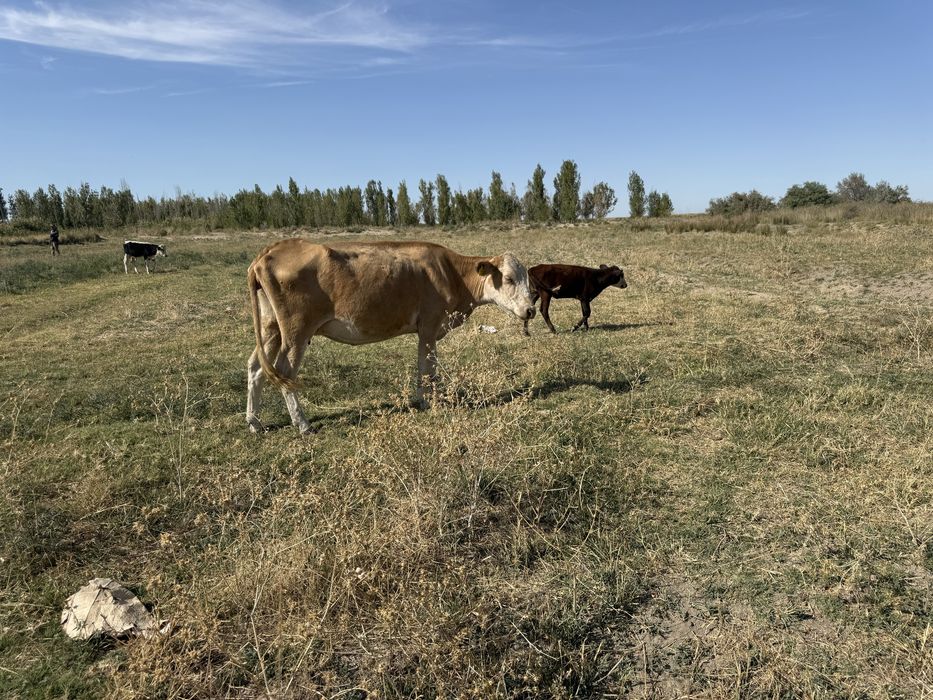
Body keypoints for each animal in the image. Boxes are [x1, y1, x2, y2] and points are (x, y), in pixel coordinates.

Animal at [246, 239, 537, 434]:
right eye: (508, 278)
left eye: (527, 280)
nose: (530, 310)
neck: (454, 275)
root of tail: (270, 251)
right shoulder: (429, 325)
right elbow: (428, 369)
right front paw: (431, 402)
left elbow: (425, 368)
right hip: (296, 330)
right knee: (285, 371)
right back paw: (302, 423)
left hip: (271, 327)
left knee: (256, 367)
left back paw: (255, 422)